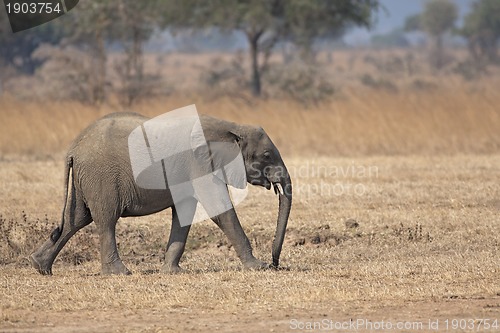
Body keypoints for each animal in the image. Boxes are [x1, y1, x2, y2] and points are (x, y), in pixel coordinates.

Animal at [29, 107, 292, 274]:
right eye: (266, 155)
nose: (275, 263)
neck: (231, 126)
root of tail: (73, 149)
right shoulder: (199, 163)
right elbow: (220, 210)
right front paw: (257, 267)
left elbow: (184, 214)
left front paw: (172, 272)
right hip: (101, 176)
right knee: (105, 220)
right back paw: (119, 273)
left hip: (85, 180)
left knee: (74, 220)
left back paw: (39, 266)